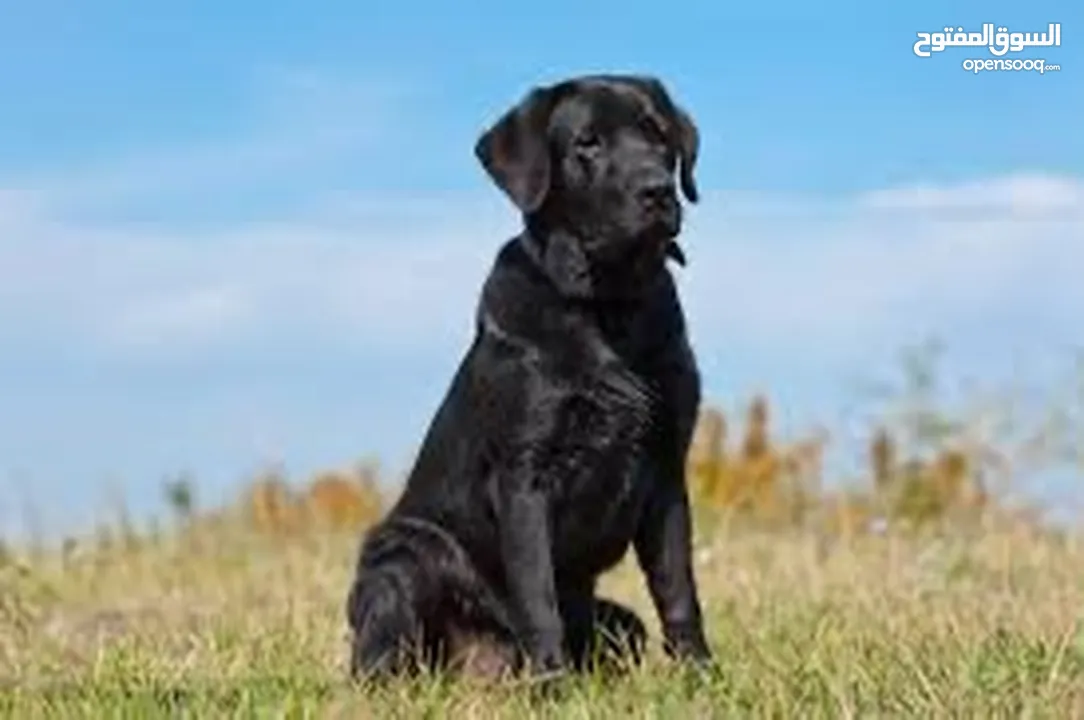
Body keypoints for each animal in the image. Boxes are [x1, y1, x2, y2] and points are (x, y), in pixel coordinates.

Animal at [344, 73, 711, 680]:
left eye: (659, 136)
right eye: (587, 144)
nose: (658, 190)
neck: (608, 306)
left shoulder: (666, 469)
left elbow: (678, 586)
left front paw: (699, 675)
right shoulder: (524, 471)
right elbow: (538, 595)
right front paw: (553, 684)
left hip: (621, 622)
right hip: (400, 556)